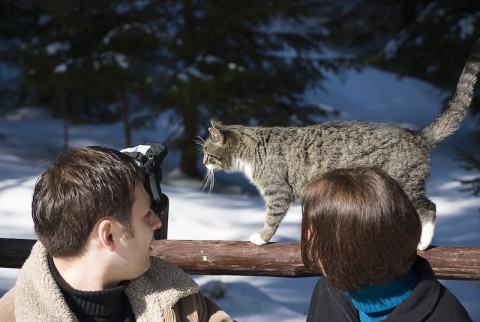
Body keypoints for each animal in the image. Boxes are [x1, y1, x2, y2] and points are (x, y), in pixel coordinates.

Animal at [202, 38, 480, 249]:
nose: (203, 163)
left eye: (206, 152)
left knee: (429, 208)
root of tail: (418, 135)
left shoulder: (278, 191)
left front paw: (260, 238)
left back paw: (422, 243)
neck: (251, 150)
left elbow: (271, 218)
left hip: (406, 181)